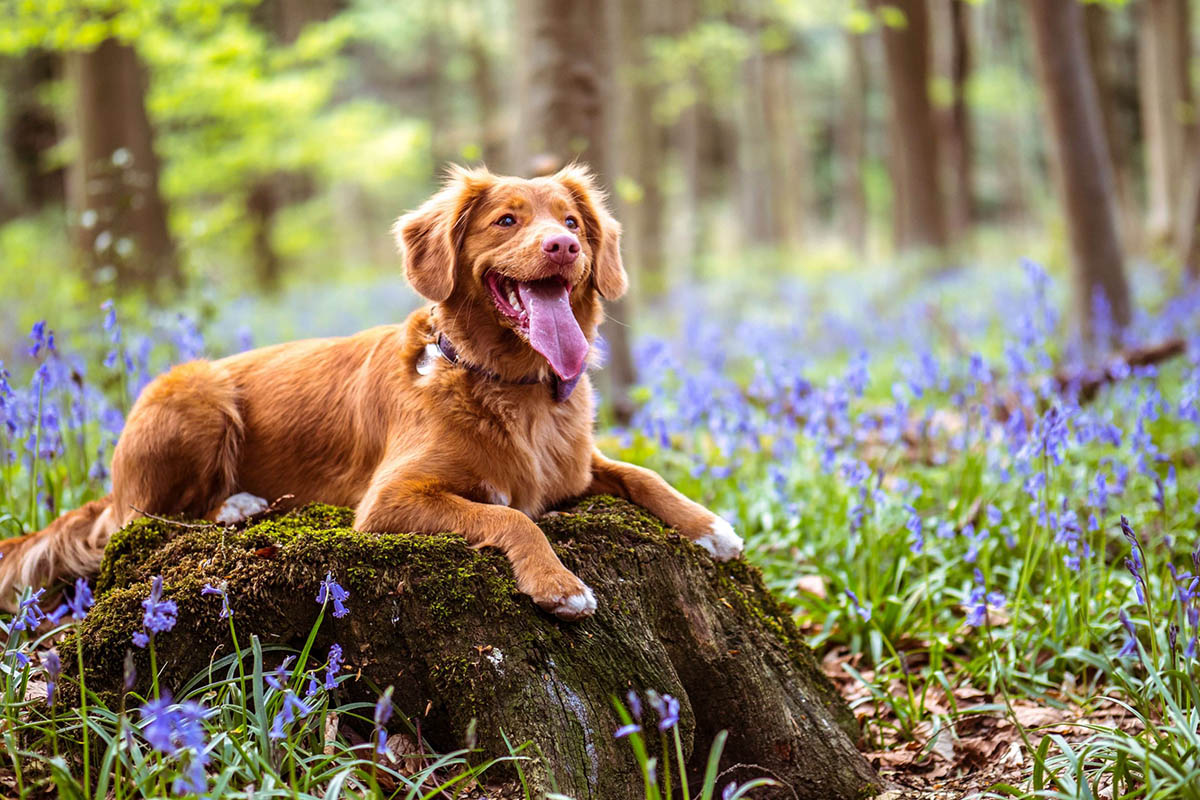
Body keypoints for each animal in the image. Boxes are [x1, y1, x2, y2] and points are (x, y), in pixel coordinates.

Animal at [0, 165, 744, 623]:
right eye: (506, 221)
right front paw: (558, 585)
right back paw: (235, 505)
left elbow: (642, 474)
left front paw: (710, 526)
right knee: (142, 519)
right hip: (195, 393)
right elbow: (513, 518)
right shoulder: (389, 501)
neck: (510, 387)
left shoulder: (577, 468)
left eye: (571, 221)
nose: (563, 247)